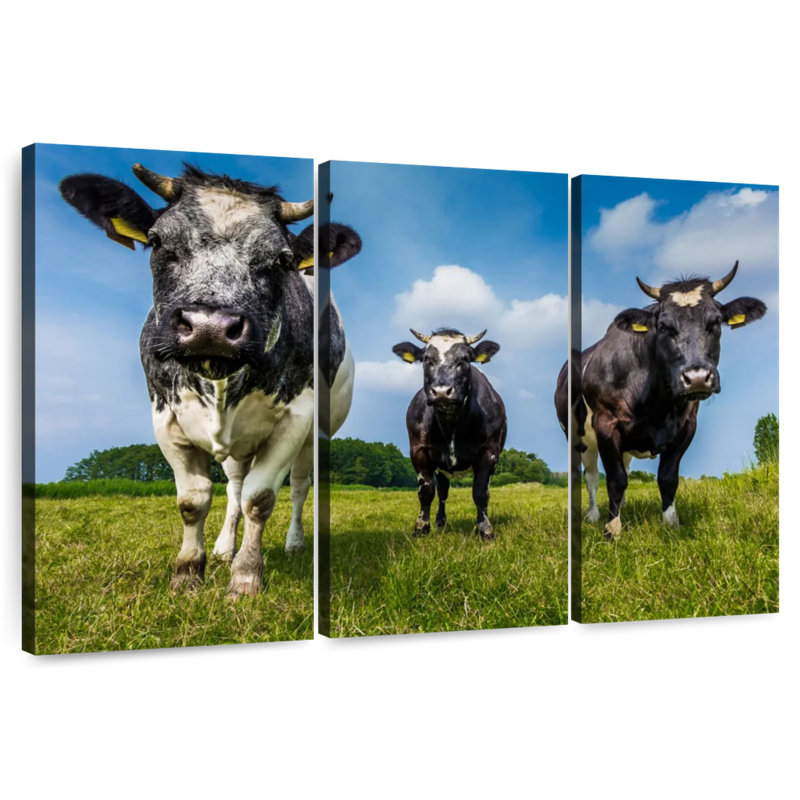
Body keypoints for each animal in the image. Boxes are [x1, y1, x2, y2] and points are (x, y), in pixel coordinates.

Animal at [60, 163, 360, 595]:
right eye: (157, 241)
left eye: (282, 259)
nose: (210, 328)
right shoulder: (165, 417)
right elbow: (194, 500)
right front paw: (188, 573)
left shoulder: (294, 420)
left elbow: (260, 498)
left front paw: (246, 576)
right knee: (234, 485)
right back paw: (223, 547)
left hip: (313, 437)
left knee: (299, 487)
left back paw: (294, 542)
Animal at [392, 328, 507, 540]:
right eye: (426, 359)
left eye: (465, 359)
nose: (441, 392)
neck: (451, 424)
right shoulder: (418, 451)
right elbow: (426, 491)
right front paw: (421, 528)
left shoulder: (490, 453)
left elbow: (480, 492)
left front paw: (485, 530)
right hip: (441, 467)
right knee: (442, 492)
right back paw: (440, 522)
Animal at [555, 262, 766, 540]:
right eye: (663, 326)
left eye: (716, 322)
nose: (697, 378)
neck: (655, 404)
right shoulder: (606, 424)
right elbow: (614, 479)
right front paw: (612, 529)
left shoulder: (686, 427)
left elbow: (667, 478)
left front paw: (670, 523)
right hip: (577, 437)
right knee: (589, 476)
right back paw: (592, 514)